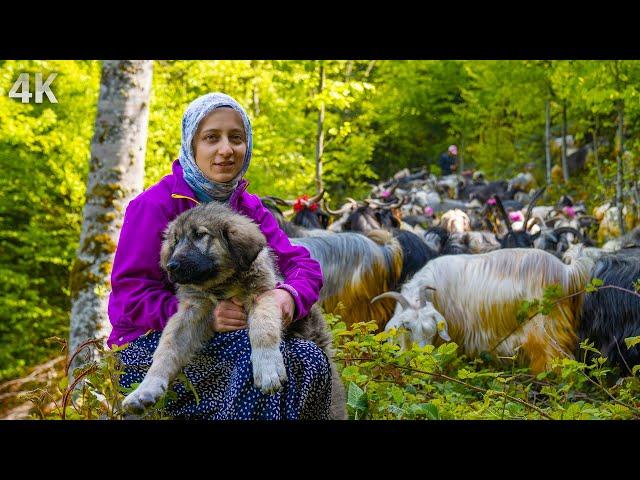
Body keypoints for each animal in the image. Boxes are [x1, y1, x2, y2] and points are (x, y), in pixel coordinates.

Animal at [376, 246, 596, 374]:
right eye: (408, 328)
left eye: (432, 329)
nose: (422, 358)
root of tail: (566, 271)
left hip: (544, 327)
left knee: (556, 359)